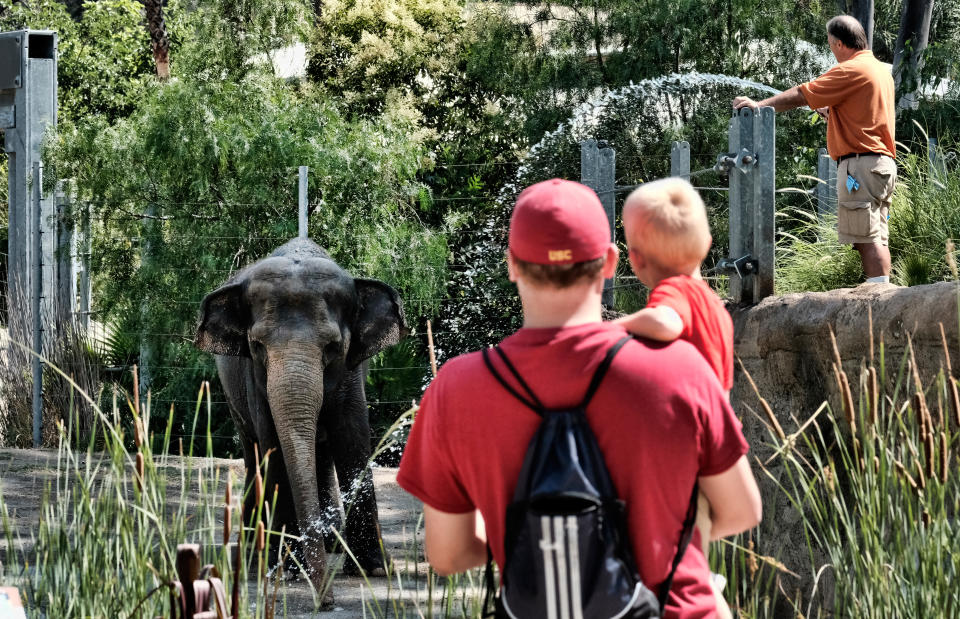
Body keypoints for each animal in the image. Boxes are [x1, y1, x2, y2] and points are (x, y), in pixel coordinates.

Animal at [193, 237, 406, 600]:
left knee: (321, 451)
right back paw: (255, 549)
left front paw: (375, 569)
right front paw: (290, 569)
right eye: (256, 345)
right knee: (253, 454)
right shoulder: (254, 377)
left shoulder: (350, 373)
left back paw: (330, 541)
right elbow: (274, 445)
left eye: (334, 346)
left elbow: (352, 439)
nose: (327, 600)